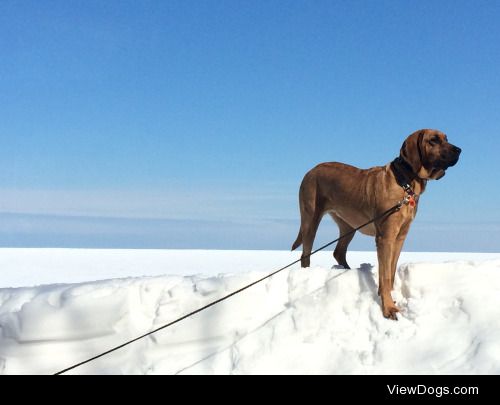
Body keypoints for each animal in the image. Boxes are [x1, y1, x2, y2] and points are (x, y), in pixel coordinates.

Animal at [292, 129, 460, 318]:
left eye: (446, 138)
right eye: (433, 140)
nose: (459, 150)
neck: (406, 183)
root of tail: (311, 170)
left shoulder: (400, 237)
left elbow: (391, 272)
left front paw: (389, 297)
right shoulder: (385, 237)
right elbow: (385, 275)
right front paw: (388, 308)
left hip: (349, 225)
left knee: (339, 252)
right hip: (310, 219)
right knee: (306, 253)